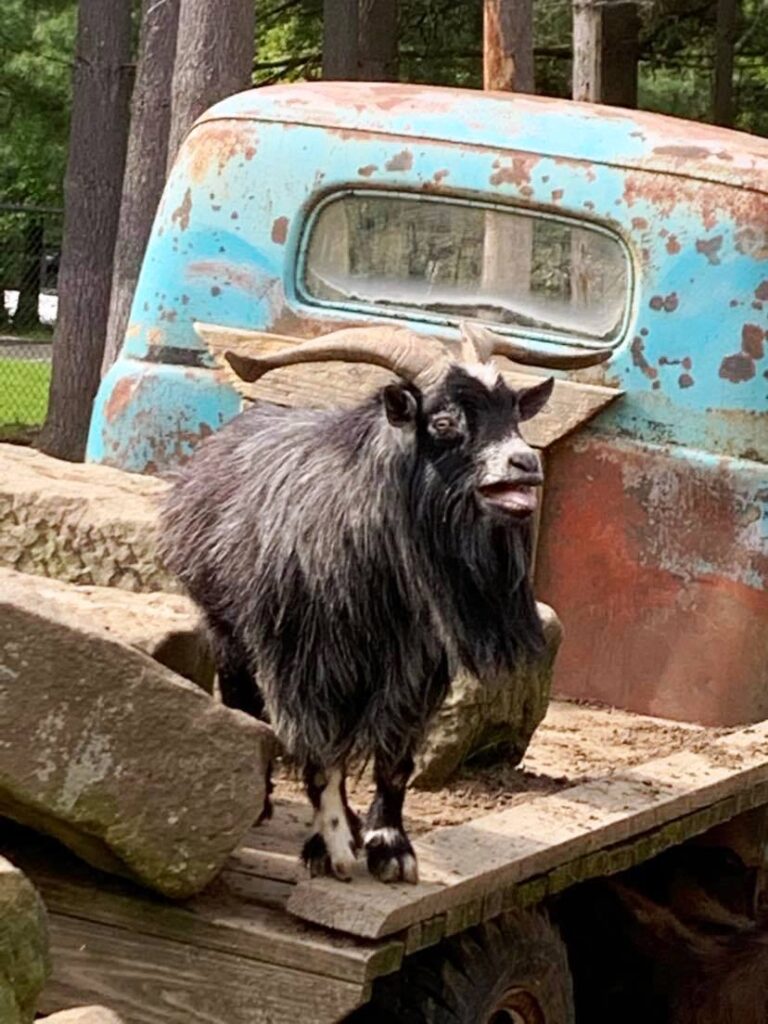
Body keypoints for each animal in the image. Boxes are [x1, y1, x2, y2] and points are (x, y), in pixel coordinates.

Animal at [159, 323, 565, 884]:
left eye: (513, 412)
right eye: (444, 421)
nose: (525, 464)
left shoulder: (415, 669)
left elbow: (395, 760)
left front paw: (389, 847)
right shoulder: (304, 662)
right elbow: (320, 754)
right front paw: (333, 846)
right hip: (226, 625)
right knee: (244, 696)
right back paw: (265, 803)